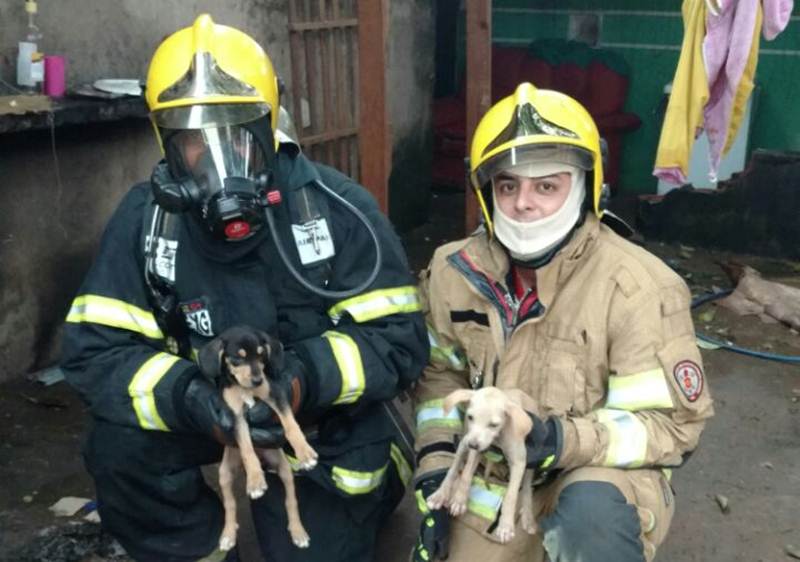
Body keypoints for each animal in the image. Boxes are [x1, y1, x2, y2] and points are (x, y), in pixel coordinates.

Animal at [197, 326, 318, 548]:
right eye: (238, 358)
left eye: (262, 355)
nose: (257, 380)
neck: (246, 390)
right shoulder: (236, 417)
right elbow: (246, 449)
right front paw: (255, 481)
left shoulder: (277, 396)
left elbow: (291, 425)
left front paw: (304, 452)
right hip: (225, 474)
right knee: (230, 504)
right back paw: (228, 535)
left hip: (285, 469)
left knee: (291, 501)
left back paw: (298, 532)